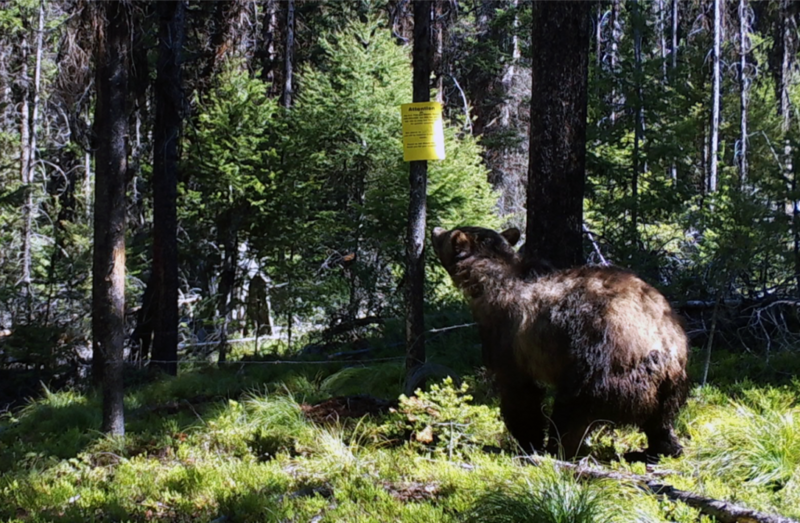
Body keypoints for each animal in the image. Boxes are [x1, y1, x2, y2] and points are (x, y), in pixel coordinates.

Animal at [431, 225, 689, 461]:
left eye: (447, 235)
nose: (435, 229)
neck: (490, 282)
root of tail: (662, 348)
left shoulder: (508, 337)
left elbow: (520, 392)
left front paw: (527, 440)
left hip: (600, 365)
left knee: (572, 410)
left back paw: (559, 448)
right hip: (671, 383)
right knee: (661, 419)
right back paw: (661, 448)